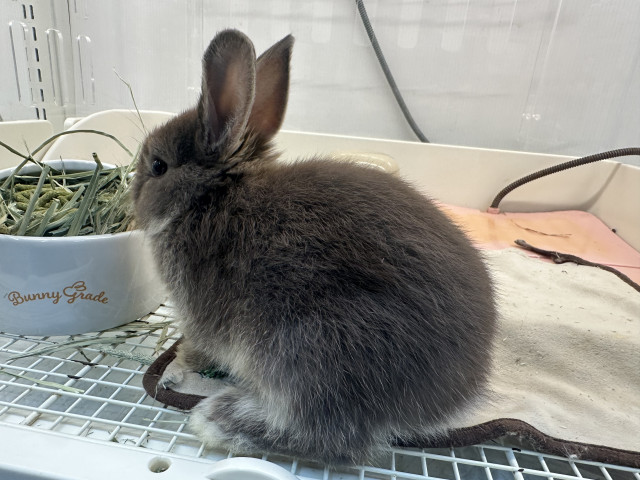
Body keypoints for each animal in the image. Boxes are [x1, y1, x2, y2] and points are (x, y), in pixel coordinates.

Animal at [132, 29, 497, 465]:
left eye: (158, 167)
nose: (131, 195)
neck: (210, 197)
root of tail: (448, 395)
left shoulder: (200, 316)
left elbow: (195, 350)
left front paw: (175, 370)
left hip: (308, 345)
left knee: (327, 434)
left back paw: (219, 421)